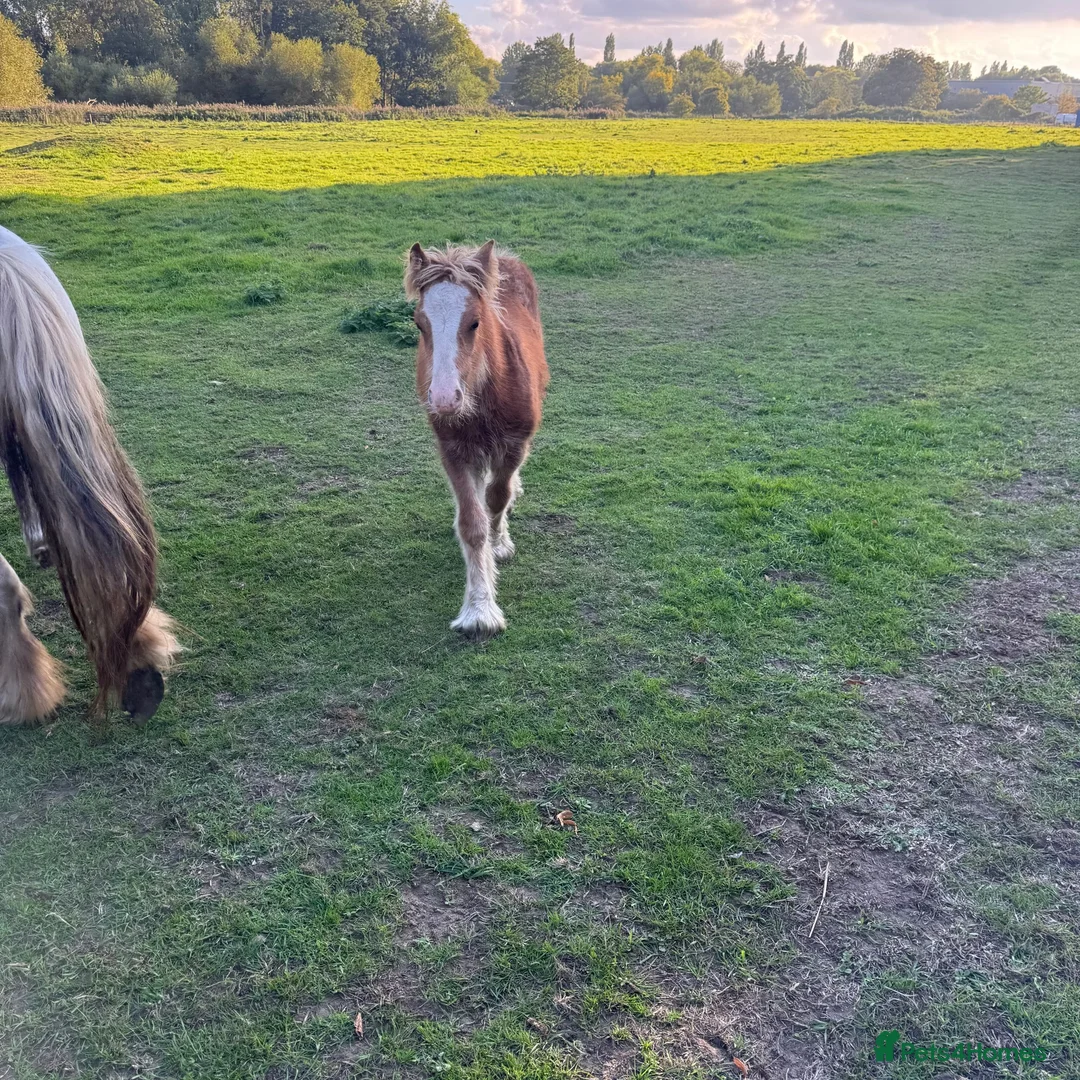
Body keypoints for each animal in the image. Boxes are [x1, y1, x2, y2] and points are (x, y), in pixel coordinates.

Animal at [405, 241, 549, 638]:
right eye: (419, 323)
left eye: (475, 322)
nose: (443, 400)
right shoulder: (454, 452)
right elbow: (472, 523)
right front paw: (479, 610)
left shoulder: (514, 444)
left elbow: (497, 498)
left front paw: (500, 545)